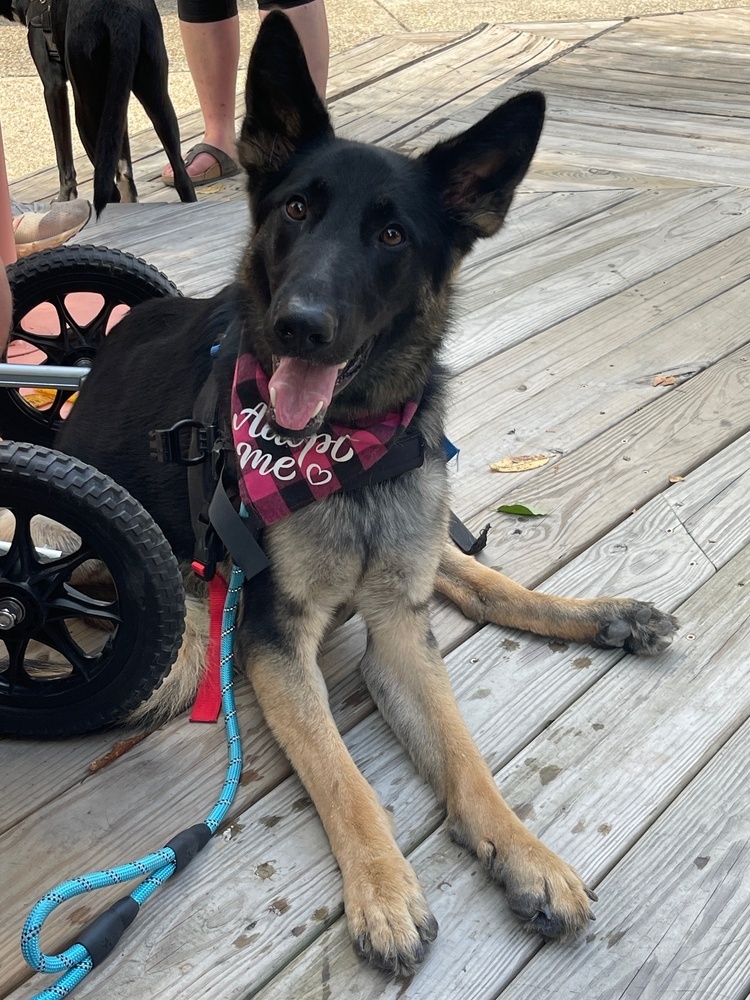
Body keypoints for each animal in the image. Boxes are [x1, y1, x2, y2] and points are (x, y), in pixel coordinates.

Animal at [55, 9, 680, 976]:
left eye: (393, 238)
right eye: (296, 210)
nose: (299, 326)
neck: (344, 447)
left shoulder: (398, 633)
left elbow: (468, 761)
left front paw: (526, 854)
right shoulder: (274, 644)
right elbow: (343, 777)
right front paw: (384, 892)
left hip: (412, 541)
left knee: (475, 580)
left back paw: (605, 613)